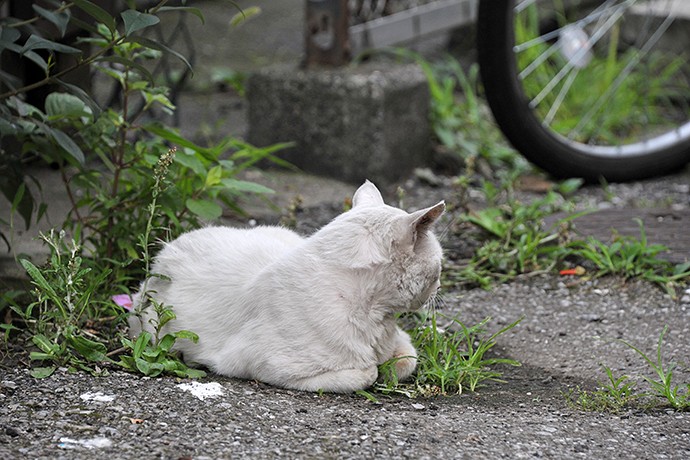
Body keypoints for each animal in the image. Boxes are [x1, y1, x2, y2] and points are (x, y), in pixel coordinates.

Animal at [127, 180, 446, 392]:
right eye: (440, 265)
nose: (440, 287)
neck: (376, 315)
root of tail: (166, 249)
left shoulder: (400, 341)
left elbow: (407, 359)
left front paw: (389, 367)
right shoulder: (267, 365)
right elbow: (367, 374)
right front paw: (377, 369)